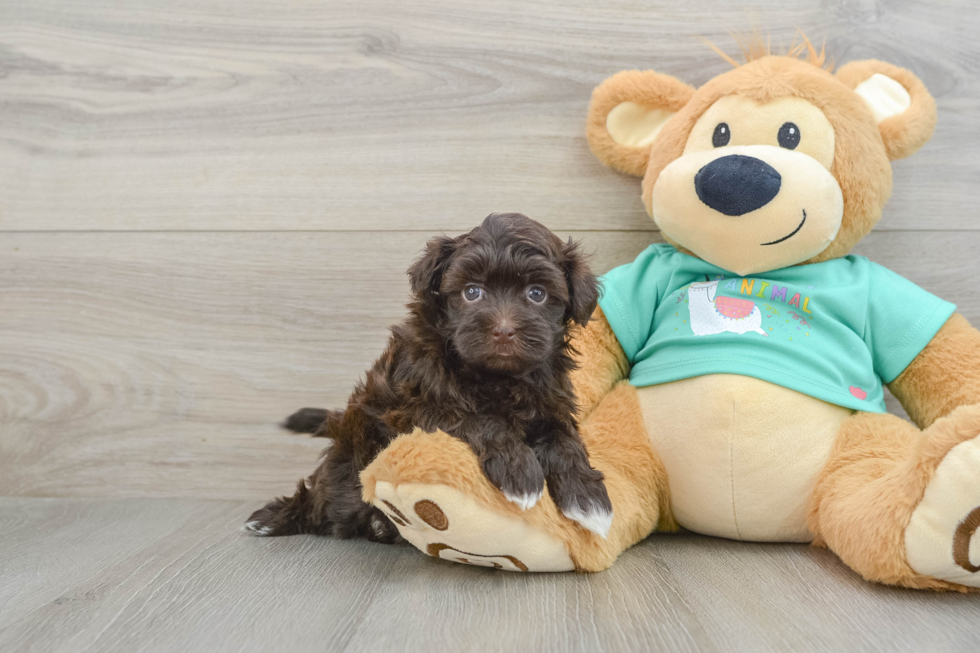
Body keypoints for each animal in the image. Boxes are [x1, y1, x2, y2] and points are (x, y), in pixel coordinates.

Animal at [245, 213, 612, 540]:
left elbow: (564, 440)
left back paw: (379, 525)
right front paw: (519, 470)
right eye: (472, 292)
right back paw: (276, 518)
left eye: (537, 293)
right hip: (348, 460)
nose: (504, 331)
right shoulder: (418, 408)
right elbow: (481, 419)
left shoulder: (551, 403)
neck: (498, 376)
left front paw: (588, 498)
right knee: (321, 498)